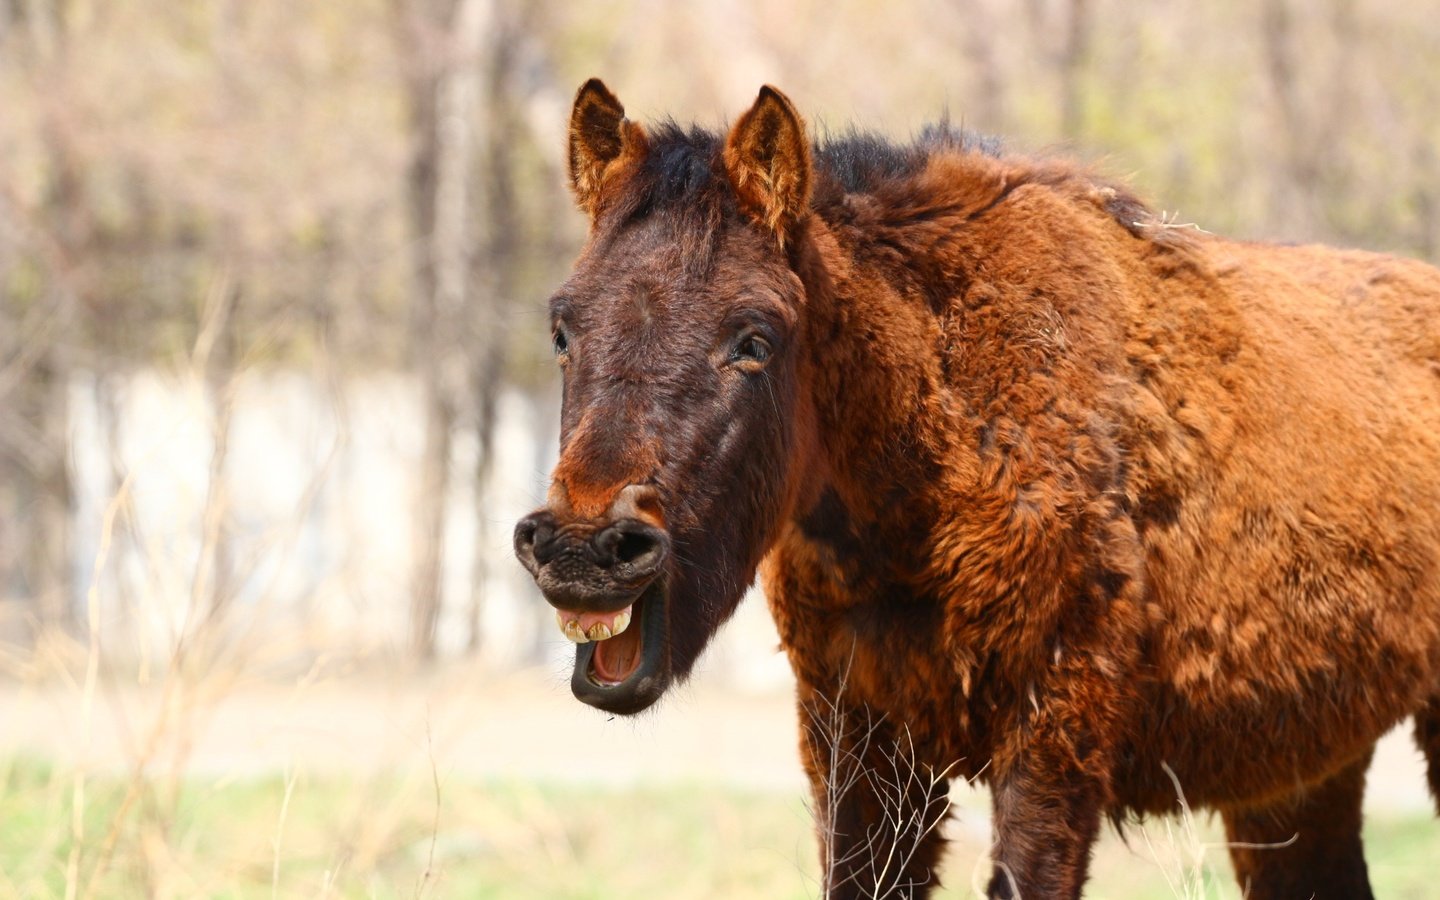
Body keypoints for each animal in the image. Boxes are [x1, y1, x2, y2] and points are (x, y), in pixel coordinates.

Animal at [512, 80, 1440, 892]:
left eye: (754, 338)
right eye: (562, 326)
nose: (586, 551)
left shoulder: (1052, 741)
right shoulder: (859, 743)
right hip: (1298, 778)